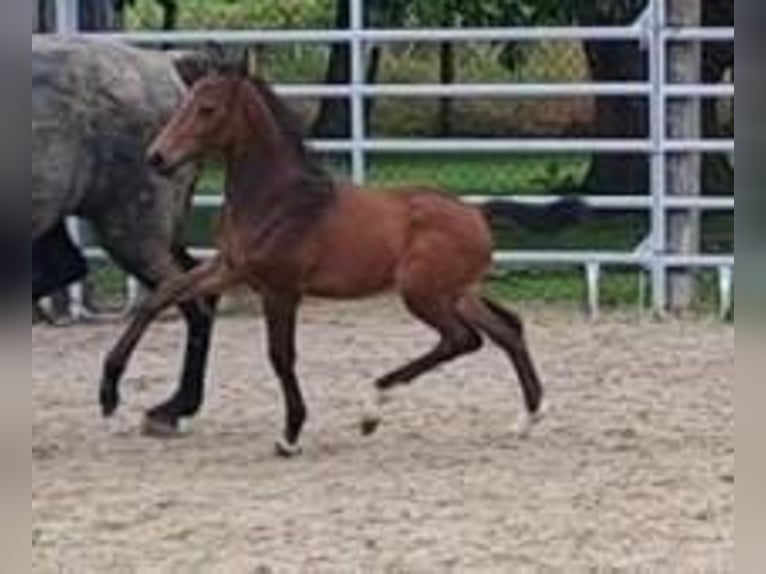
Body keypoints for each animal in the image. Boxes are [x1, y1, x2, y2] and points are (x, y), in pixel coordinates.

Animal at [102, 63, 584, 460]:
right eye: (185, 103)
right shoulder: (229, 269)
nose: (157, 157)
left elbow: (280, 356)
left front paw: (290, 436)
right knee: (508, 329)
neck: (279, 201)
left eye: (207, 108)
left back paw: (373, 407)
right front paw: (109, 394)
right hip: (457, 292)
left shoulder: (281, 290)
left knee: (462, 339)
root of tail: (478, 213)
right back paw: (527, 418)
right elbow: (160, 297)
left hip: (422, 294)